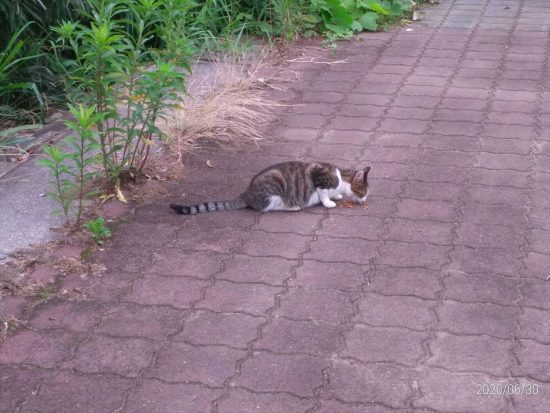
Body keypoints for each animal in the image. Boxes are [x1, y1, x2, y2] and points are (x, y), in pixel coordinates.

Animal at [170, 161, 371, 215]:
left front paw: (336, 197)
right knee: (269, 208)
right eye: (363, 192)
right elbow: (323, 193)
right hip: (275, 186)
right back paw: (293, 206)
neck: (341, 177)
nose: (365, 200)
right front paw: (329, 202)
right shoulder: (318, 175)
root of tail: (247, 194)